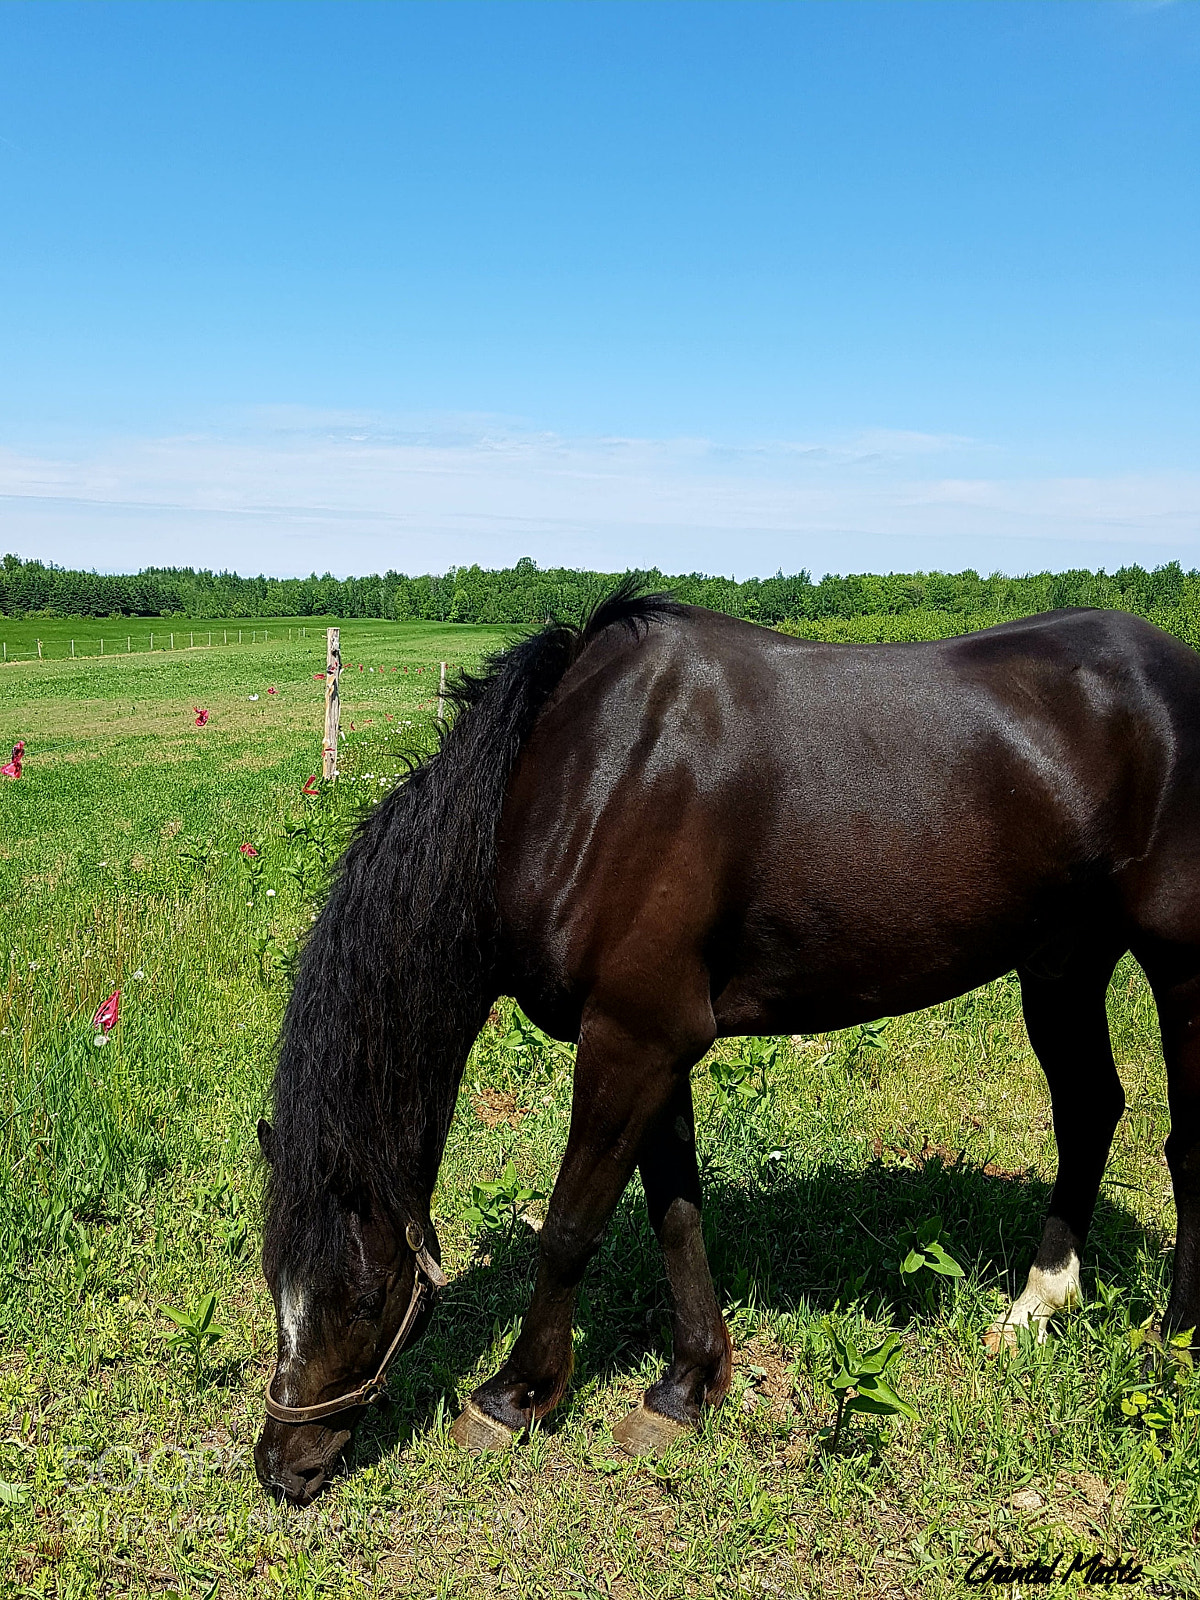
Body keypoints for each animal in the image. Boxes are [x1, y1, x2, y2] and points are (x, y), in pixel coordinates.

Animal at [254, 585, 1200, 1503]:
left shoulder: (631, 1040)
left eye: (367, 1297)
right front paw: (686, 1388)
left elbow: (570, 1225)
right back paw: (1039, 1304)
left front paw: (514, 1395)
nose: (284, 1465)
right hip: (1063, 964)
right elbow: (675, 1213)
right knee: (1088, 1109)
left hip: (1176, 959)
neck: (581, 786)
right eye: (273, 1282)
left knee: (1182, 1146)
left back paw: (1175, 1347)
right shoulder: (657, 1044)